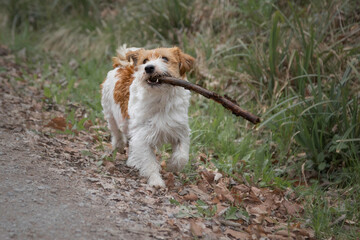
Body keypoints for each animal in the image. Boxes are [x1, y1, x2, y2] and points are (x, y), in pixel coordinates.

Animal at [100, 46, 195, 187]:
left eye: (165, 58)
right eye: (145, 60)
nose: (148, 68)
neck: (161, 99)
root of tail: (123, 65)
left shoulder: (180, 130)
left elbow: (182, 156)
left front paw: (173, 166)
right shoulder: (143, 136)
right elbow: (149, 162)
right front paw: (156, 181)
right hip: (110, 114)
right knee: (116, 132)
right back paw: (119, 145)